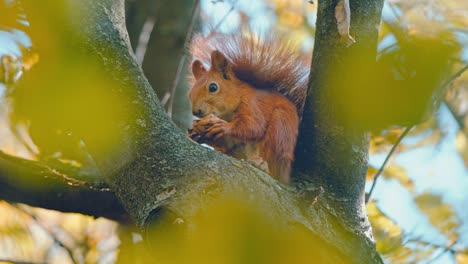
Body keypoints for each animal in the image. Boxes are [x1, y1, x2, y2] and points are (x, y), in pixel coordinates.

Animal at [186, 31, 310, 184]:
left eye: (213, 87)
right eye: (190, 94)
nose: (196, 111)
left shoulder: (252, 104)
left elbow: (253, 126)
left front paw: (224, 126)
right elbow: (228, 142)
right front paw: (195, 132)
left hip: (280, 128)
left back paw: (262, 165)